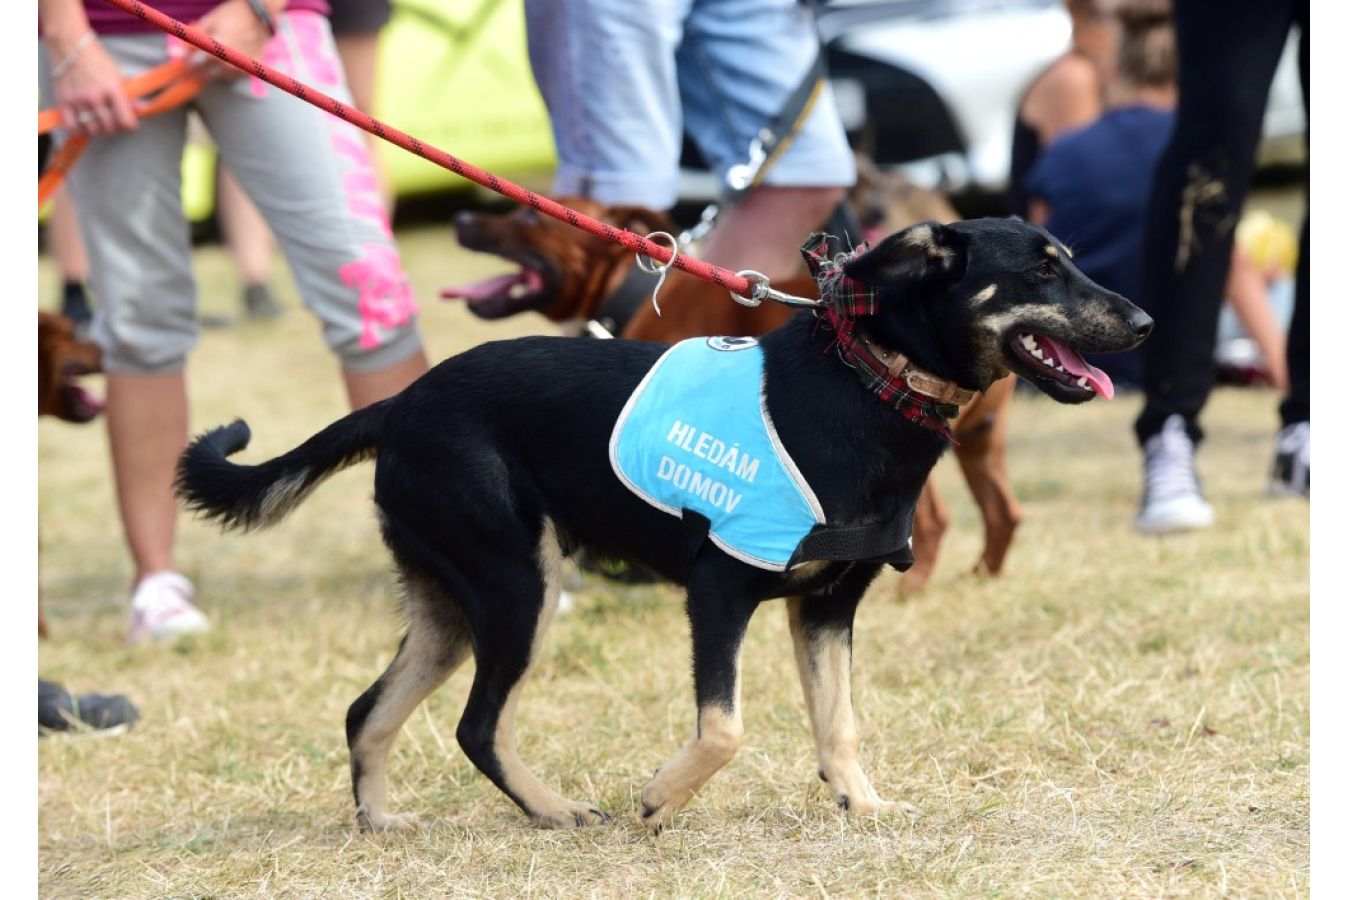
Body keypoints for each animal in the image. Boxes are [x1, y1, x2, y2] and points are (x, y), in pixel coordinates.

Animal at [448, 180, 1015, 591]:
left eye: (527, 218)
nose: (460, 218)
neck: (628, 291)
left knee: (936, 522)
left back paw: (908, 592)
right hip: (980, 443)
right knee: (1004, 514)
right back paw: (980, 579)